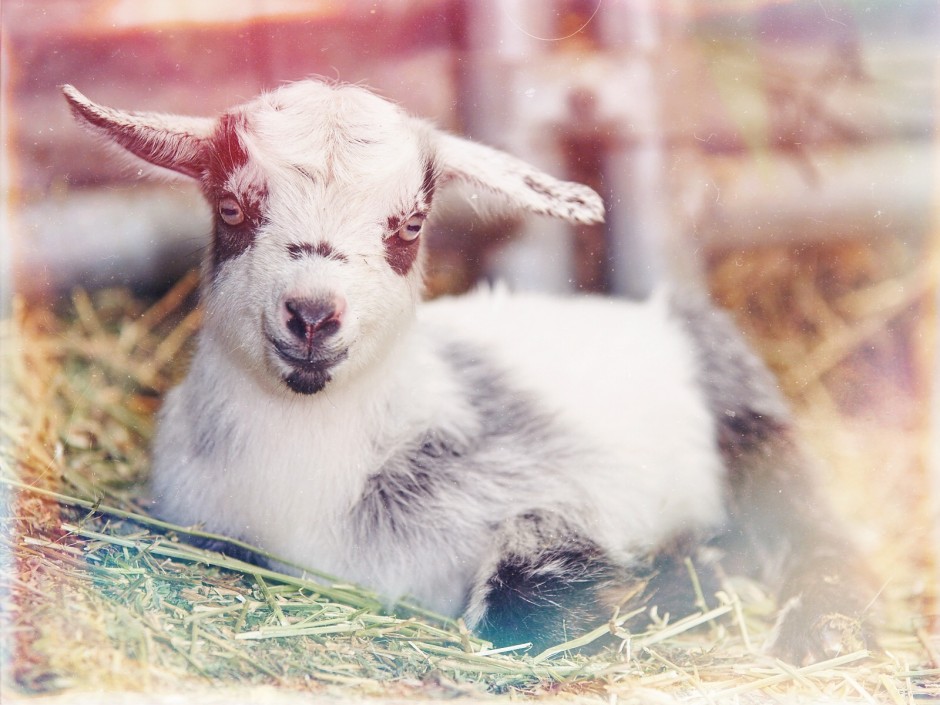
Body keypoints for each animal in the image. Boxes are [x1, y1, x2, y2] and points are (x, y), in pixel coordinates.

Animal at [63, 79, 874, 664]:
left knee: (814, 526)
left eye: (410, 224)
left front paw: (674, 578)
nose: (313, 314)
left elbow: (518, 597)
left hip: (750, 424)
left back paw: (825, 624)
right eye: (231, 207)